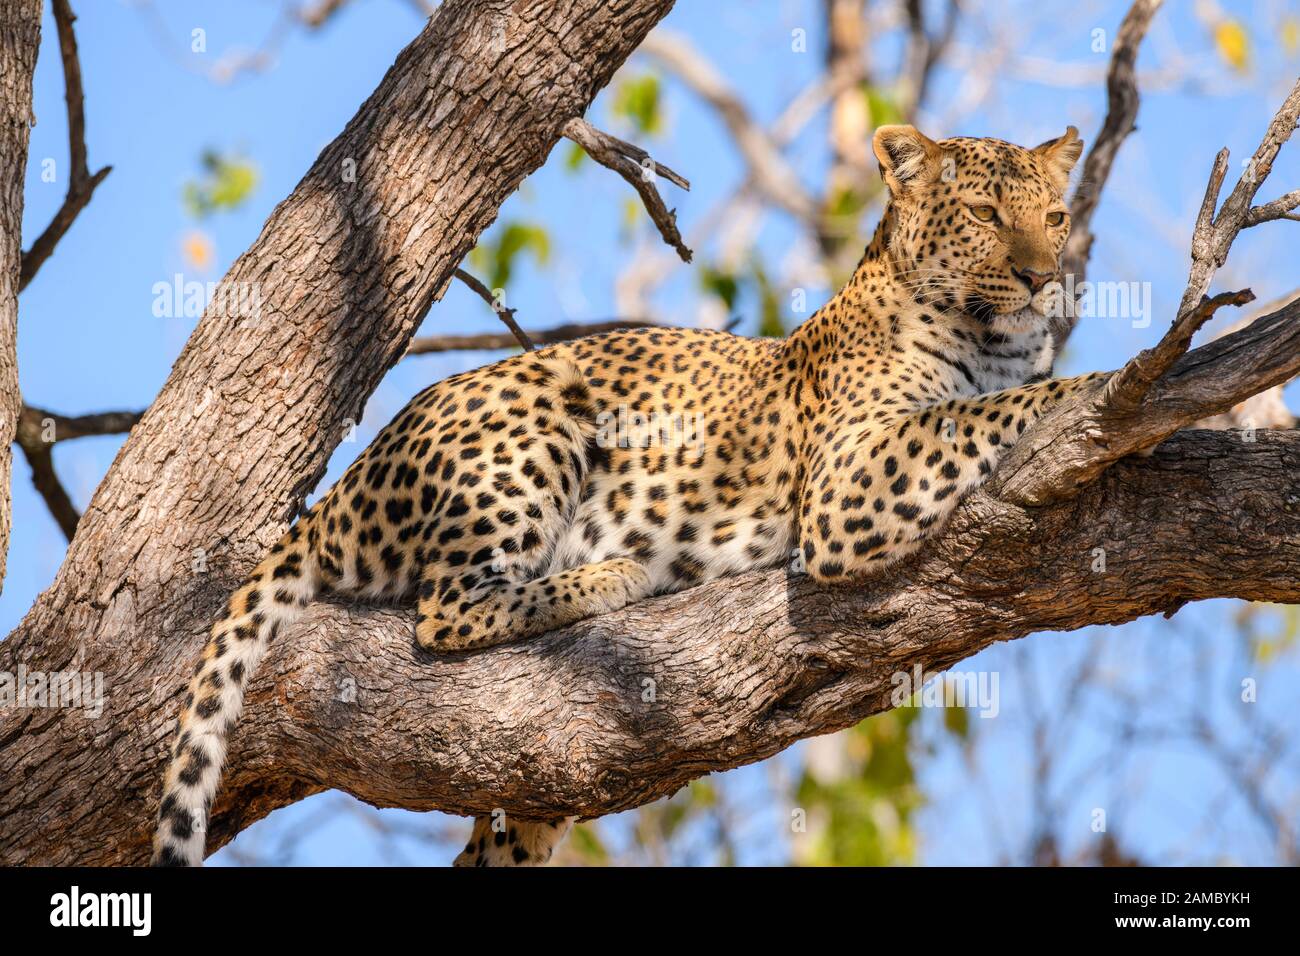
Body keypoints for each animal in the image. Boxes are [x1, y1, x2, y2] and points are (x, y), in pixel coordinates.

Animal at [149, 121, 1107, 868]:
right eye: (984, 215)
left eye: (1056, 217)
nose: (1041, 277)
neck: (995, 342)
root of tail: (341, 491)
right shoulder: (847, 480)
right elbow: (982, 410)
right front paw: (1105, 384)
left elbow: (988, 402)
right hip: (534, 413)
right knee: (444, 610)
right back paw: (613, 577)